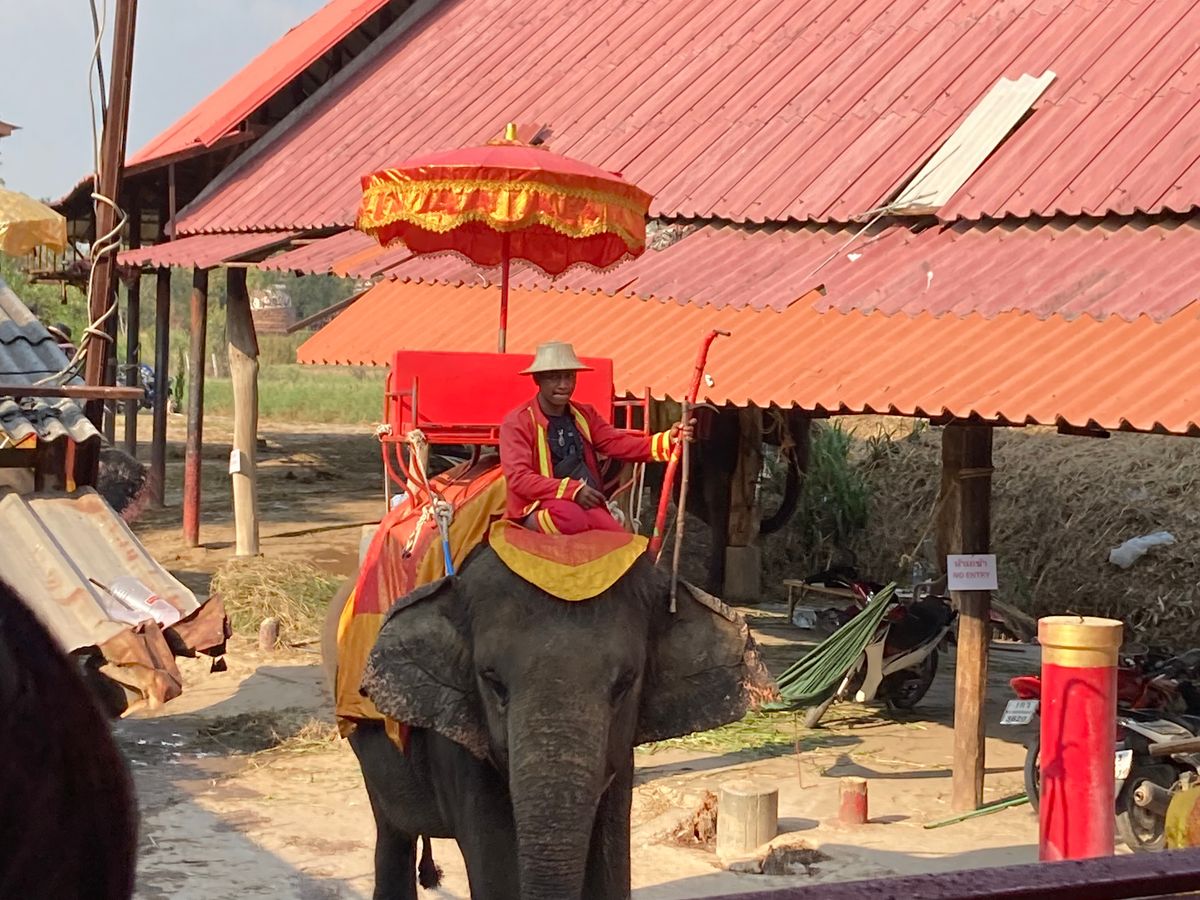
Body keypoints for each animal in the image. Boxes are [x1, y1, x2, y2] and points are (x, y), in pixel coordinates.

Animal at [324, 544, 772, 899]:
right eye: (492, 682)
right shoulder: (458, 743)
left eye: (625, 683)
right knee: (392, 834)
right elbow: (497, 868)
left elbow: (611, 865)